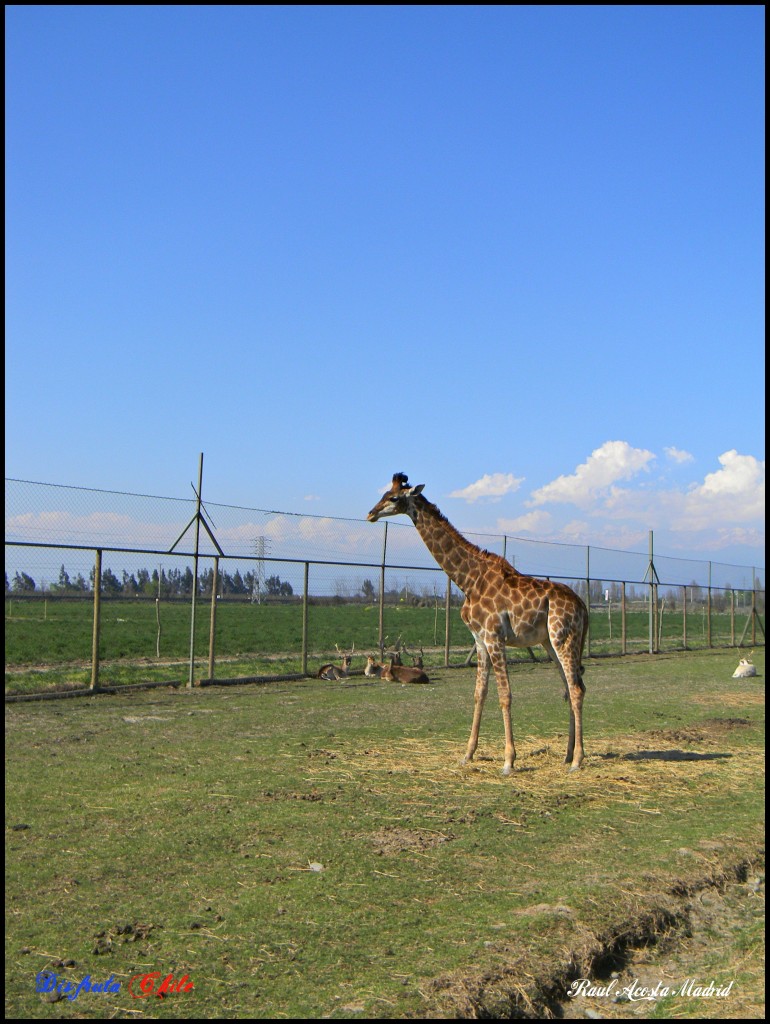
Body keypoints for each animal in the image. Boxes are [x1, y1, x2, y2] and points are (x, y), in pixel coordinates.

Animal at [366, 475, 589, 770]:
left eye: (393, 498)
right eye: (383, 493)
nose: (371, 514)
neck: (469, 580)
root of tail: (583, 606)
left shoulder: (495, 637)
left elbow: (505, 695)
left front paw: (508, 761)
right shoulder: (480, 640)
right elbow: (479, 693)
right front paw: (467, 754)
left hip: (564, 639)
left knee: (576, 688)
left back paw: (577, 760)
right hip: (550, 643)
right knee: (569, 687)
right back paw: (567, 755)